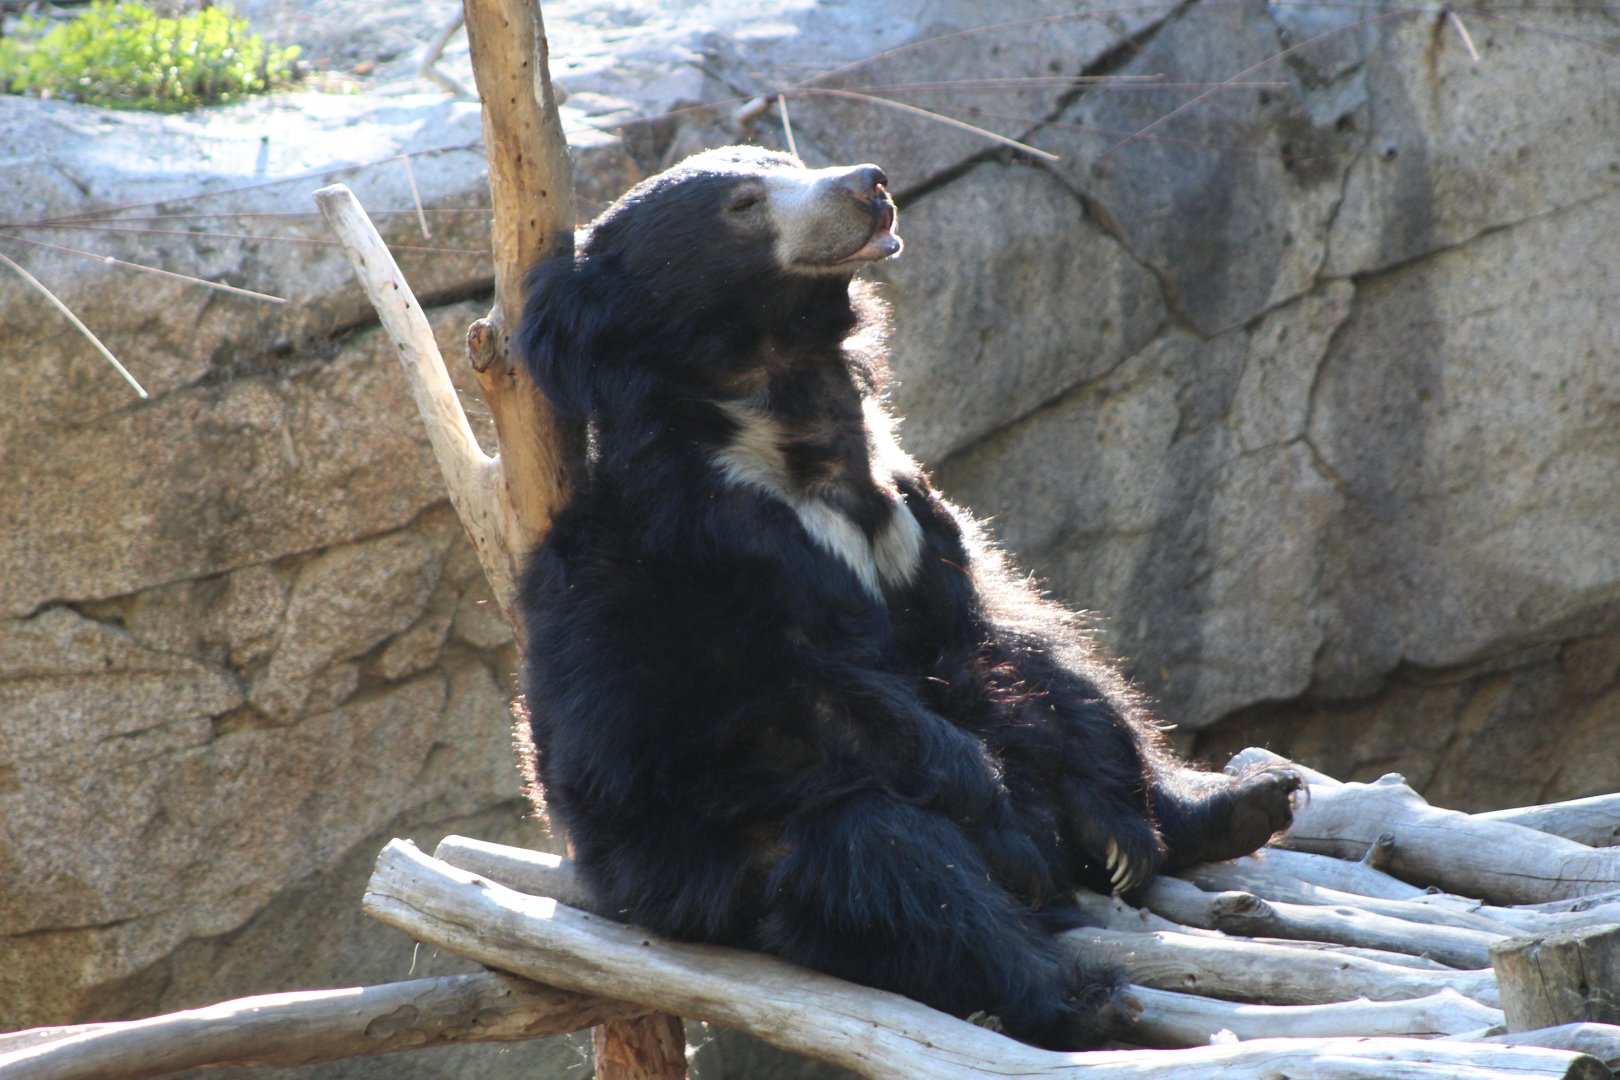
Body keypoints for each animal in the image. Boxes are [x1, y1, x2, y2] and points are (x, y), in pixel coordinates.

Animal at [515, 145, 1299, 1050]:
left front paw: (1118, 831)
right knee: (897, 865)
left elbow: (1001, 648)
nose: (868, 183)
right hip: (721, 860)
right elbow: (845, 698)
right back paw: (1083, 993)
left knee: (1073, 683)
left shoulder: (912, 507)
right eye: (743, 205)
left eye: (787, 161)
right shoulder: (714, 545)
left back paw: (1242, 802)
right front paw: (1007, 826)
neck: (793, 420)